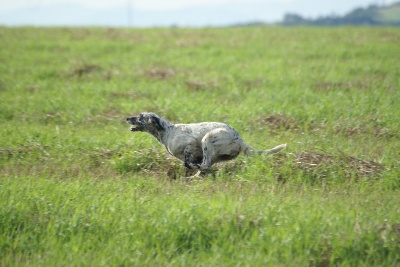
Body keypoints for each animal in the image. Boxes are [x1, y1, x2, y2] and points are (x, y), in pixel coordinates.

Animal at [126, 112, 286, 177]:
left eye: (140, 117)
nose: (127, 118)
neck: (168, 131)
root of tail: (241, 141)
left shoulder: (189, 143)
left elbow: (189, 159)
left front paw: (189, 164)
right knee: (205, 167)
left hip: (208, 139)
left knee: (204, 165)